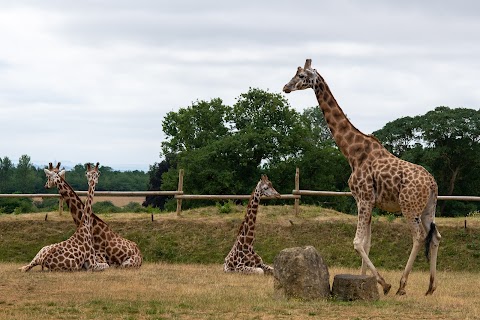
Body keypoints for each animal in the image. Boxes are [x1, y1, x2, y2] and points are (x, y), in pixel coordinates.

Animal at [284, 59, 440, 296]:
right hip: (428, 208)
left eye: (301, 76)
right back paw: (431, 287)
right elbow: (366, 243)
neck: (352, 153)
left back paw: (402, 285)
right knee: (435, 236)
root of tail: (432, 183)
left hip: (409, 206)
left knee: (419, 236)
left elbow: (357, 242)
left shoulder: (364, 199)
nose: (286, 87)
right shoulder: (366, 201)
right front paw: (365, 280)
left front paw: (385, 284)